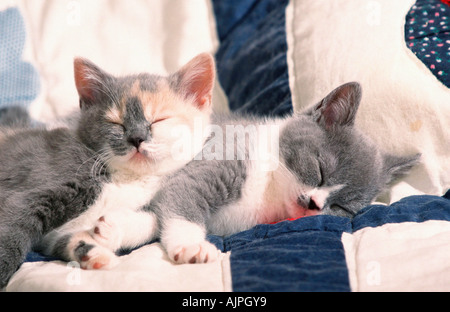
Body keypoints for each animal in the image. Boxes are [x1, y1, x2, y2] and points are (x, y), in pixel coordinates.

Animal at [0, 52, 215, 286]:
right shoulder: (33, 190)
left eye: (159, 120)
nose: (136, 138)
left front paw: (97, 247)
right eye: (116, 123)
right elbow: (13, 226)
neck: (128, 179)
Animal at [83, 80, 418, 266]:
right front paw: (191, 246)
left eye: (343, 207)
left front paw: (112, 229)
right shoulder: (210, 164)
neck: (266, 192)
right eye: (320, 170)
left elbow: (158, 215)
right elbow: (181, 202)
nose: (315, 204)